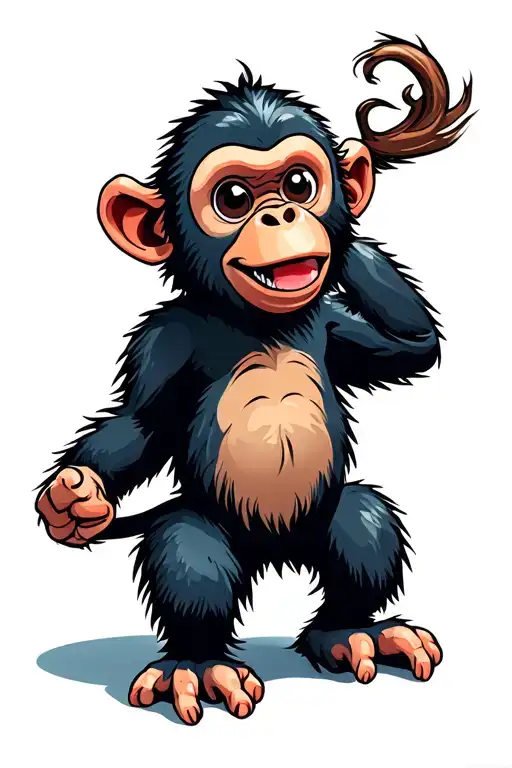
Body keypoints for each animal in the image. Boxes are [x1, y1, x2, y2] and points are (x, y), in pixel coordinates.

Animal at [36, 34, 473, 725]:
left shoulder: (333, 325)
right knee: (186, 548)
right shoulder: (163, 341)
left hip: (322, 519)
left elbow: (411, 347)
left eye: (300, 181)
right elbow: (140, 422)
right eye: (235, 200)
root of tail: (275, 555)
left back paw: (352, 634)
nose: (285, 214)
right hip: (213, 528)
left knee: (363, 520)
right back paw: (196, 667)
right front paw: (73, 498)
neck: (256, 322)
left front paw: (351, 229)